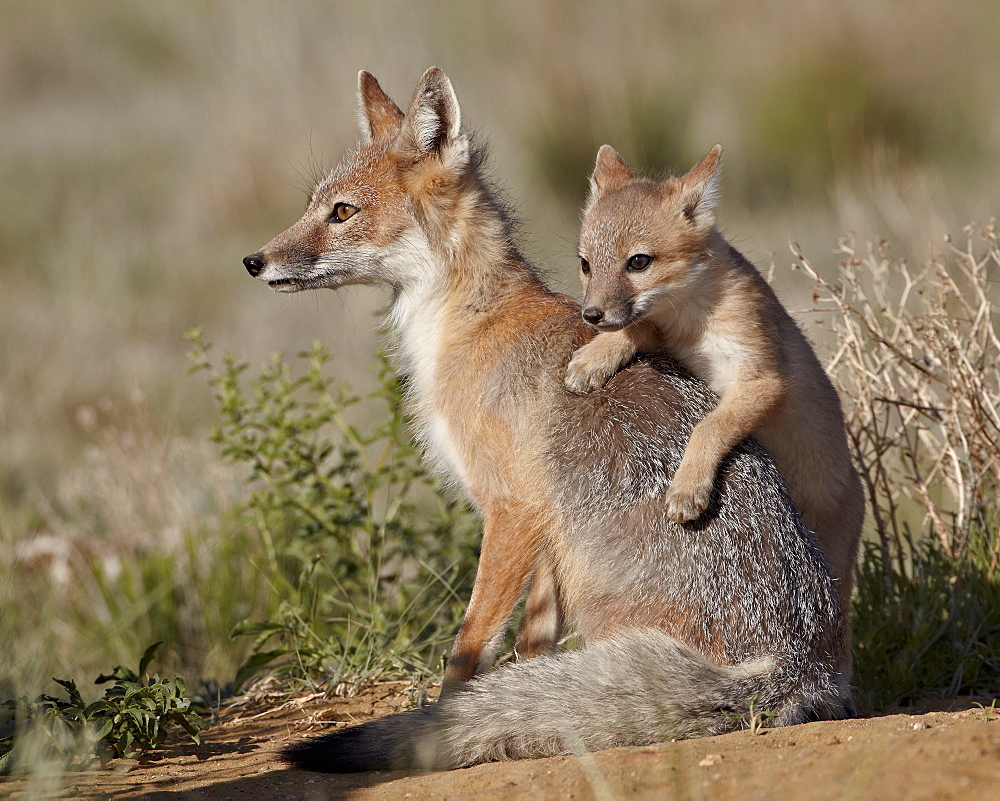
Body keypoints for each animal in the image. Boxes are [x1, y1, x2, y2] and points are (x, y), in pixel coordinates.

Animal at [568, 144, 864, 608]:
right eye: (585, 265)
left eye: (638, 262)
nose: (592, 314)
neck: (692, 325)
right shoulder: (669, 342)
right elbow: (638, 329)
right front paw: (598, 356)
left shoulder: (764, 382)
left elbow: (710, 426)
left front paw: (689, 486)